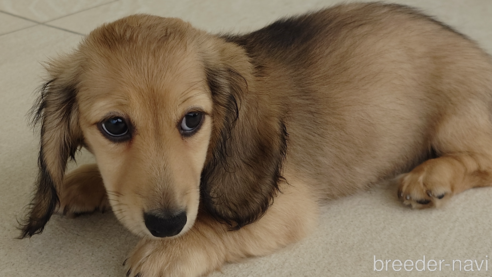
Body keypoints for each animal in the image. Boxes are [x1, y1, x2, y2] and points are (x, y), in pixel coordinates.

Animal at [18, 2, 492, 276]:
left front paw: (171, 250)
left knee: (480, 159)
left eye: (192, 120)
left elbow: (216, 224)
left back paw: (432, 176)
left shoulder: (286, 204)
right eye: (115, 126)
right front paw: (82, 181)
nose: (167, 224)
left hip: (455, 122)